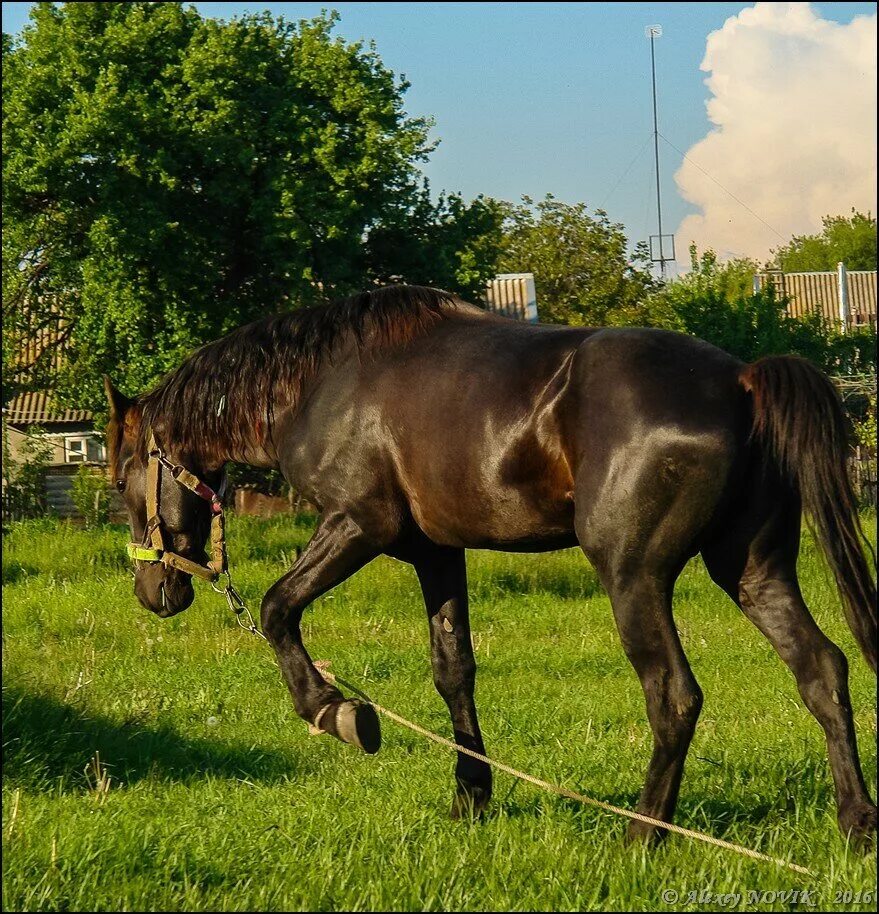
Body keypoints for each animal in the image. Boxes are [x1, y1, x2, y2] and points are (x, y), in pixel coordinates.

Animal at [105, 284, 879, 840]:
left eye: (119, 480)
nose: (150, 589)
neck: (324, 383)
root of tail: (740, 381)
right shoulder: (435, 552)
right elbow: (453, 670)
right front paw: (471, 796)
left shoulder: (359, 525)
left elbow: (276, 610)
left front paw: (336, 711)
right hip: (750, 570)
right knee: (821, 669)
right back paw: (856, 822)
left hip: (633, 577)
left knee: (673, 697)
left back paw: (643, 832)